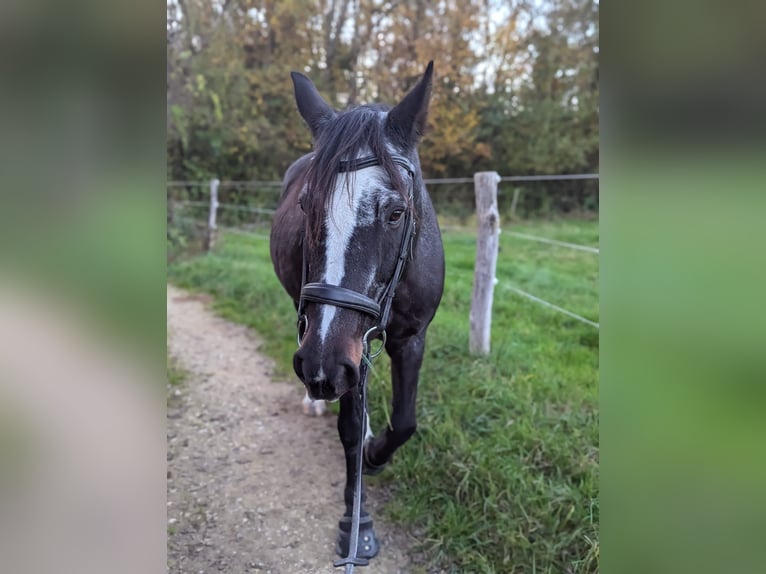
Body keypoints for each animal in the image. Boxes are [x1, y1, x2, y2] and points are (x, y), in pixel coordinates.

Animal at [272, 62, 448, 564]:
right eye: (306, 206)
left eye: (395, 213)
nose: (320, 368)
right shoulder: (345, 350)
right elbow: (349, 428)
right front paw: (357, 521)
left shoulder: (408, 337)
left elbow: (404, 423)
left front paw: (374, 456)